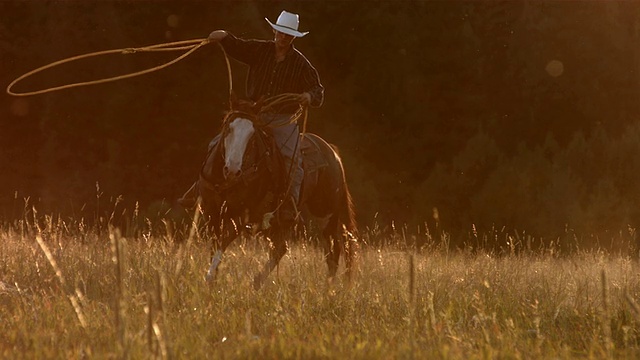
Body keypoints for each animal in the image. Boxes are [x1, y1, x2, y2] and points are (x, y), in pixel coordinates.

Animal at [196, 97, 356, 288]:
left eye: (252, 136)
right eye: (228, 128)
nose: (233, 169)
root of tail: (333, 154)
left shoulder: (240, 217)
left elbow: (222, 242)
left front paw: (208, 279)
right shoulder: (212, 213)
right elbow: (214, 247)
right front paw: (212, 280)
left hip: (325, 215)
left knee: (334, 253)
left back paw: (327, 289)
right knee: (282, 248)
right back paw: (257, 281)